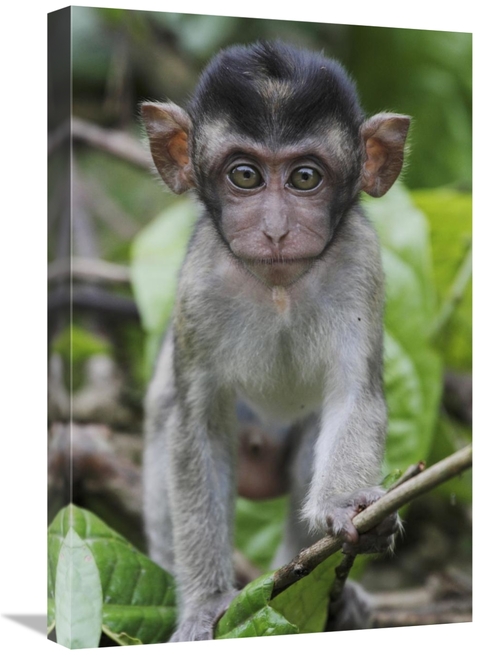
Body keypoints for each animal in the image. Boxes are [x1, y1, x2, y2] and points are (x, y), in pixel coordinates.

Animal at [141, 41, 410, 642]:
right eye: (245, 175)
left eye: (305, 177)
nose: (276, 229)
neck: (280, 288)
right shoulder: (199, 282)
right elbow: (195, 425)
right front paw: (203, 605)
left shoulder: (360, 263)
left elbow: (354, 397)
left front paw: (347, 507)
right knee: (168, 420)